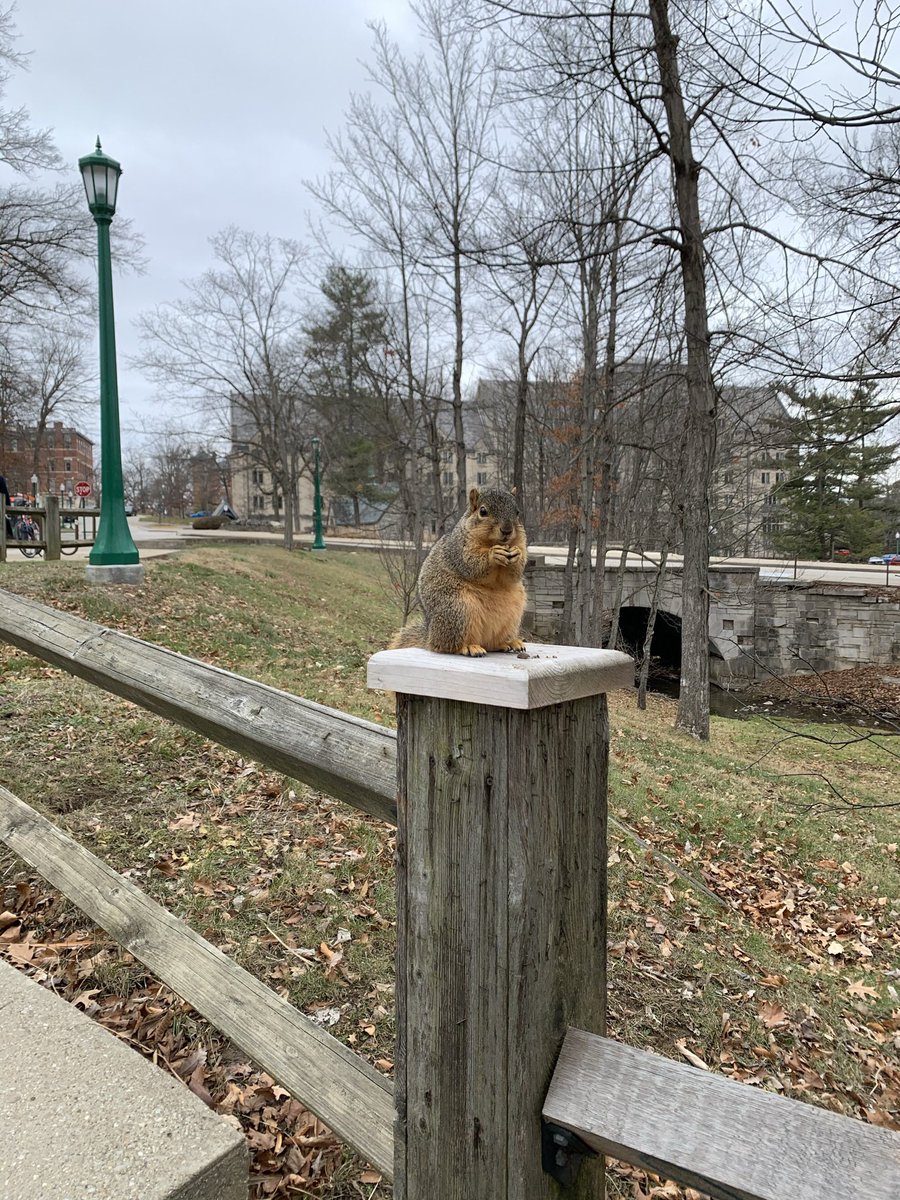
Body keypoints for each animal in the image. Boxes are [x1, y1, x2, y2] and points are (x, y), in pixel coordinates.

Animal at [390, 487, 528, 657]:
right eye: (483, 511)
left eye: (517, 512)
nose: (507, 530)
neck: (493, 542)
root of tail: (430, 636)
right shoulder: (458, 548)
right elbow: (471, 564)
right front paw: (493, 554)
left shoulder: (520, 543)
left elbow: (514, 574)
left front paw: (517, 554)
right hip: (458, 609)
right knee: (448, 646)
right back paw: (469, 647)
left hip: (513, 615)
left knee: (494, 643)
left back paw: (510, 642)